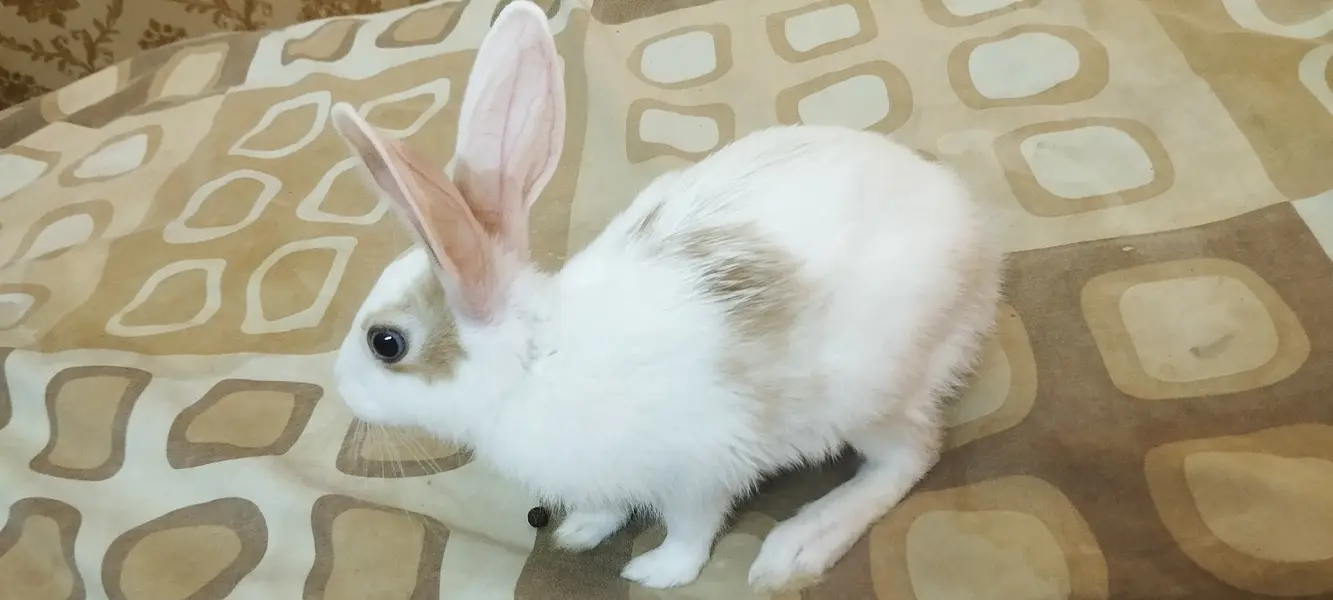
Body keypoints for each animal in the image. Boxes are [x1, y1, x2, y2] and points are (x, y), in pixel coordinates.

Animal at [328, 0, 1003, 591]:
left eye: (386, 343)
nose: (341, 390)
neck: (534, 363)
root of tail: (981, 252)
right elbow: (607, 504)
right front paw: (581, 531)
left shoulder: (700, 470)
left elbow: (690, 529)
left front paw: (657, 572)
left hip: (872, 395)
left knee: (910, 457)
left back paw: (795, 548)